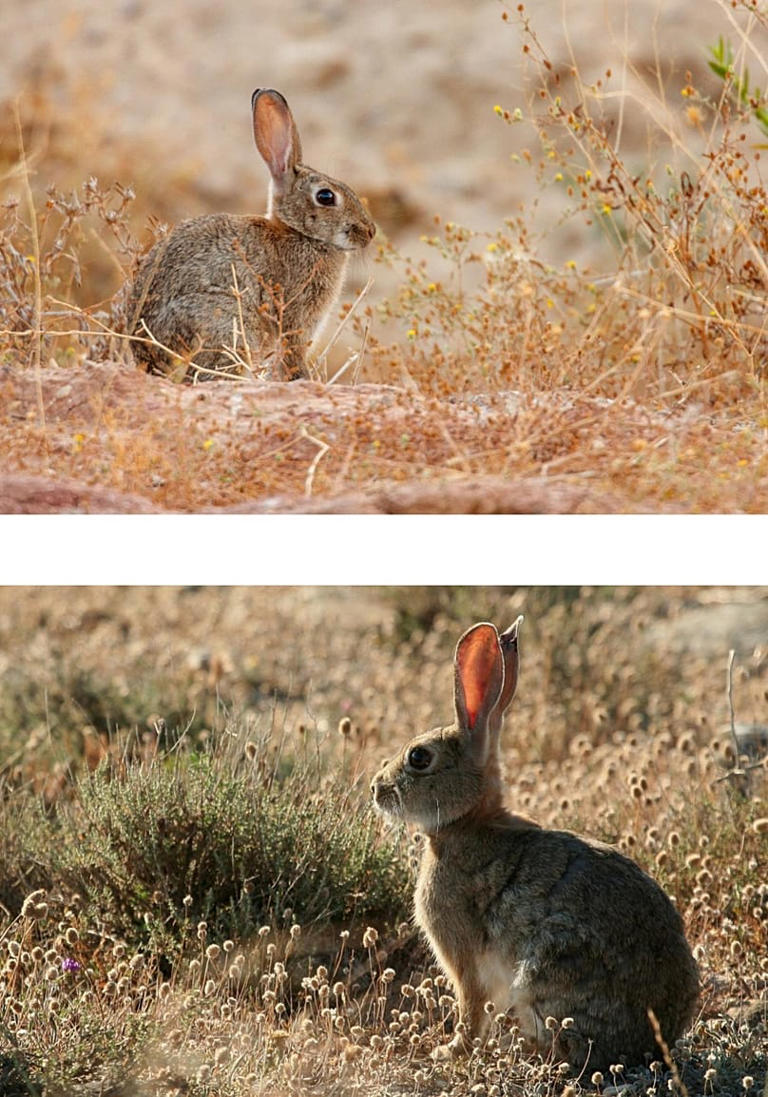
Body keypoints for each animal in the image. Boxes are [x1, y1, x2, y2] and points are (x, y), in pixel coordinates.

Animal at [127, 88, 376, 382]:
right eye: (326, 197)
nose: (370, 231)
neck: (299, 234)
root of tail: (149, 357)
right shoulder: (293, 316)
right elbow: (292, 355)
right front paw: (304, 380)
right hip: (228, 322)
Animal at [371, 619, 699, 1074]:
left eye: (419, 758)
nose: (375, 788)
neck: (468, 823)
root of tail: (654, 1040)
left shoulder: (463, 954)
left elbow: (470, 1006)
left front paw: (449, 1052)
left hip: (548, 969)